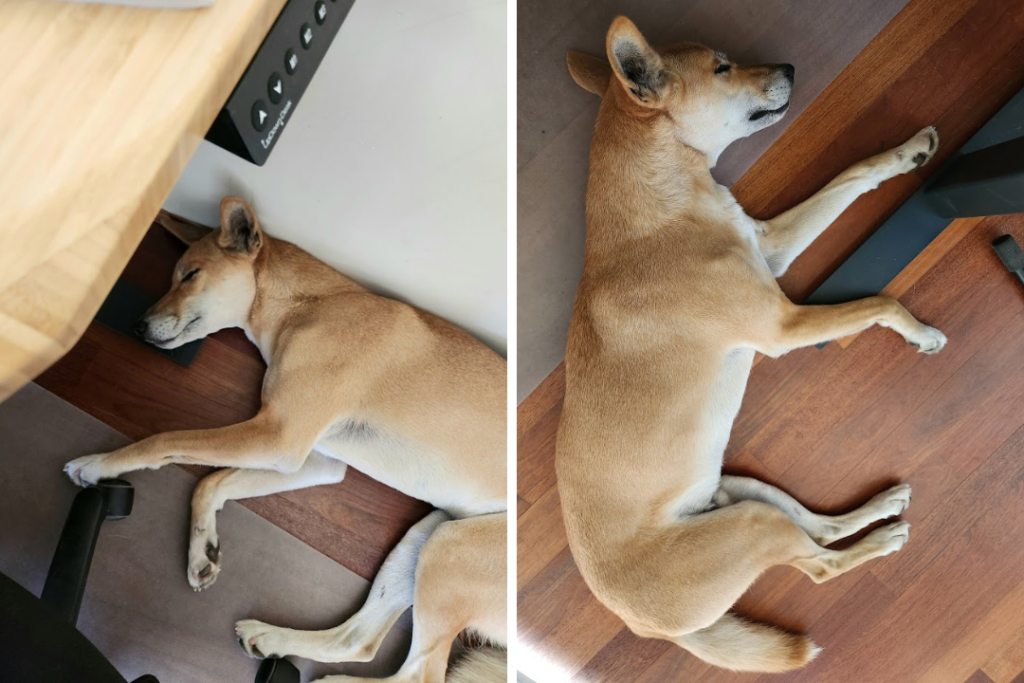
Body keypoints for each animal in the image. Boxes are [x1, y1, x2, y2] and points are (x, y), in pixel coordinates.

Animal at [61, 194, 505, 679]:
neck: (307, 304)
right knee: (359, 642)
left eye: (190, 274)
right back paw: (274, 640)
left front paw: (97, 465)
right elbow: (210, 481)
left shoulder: (277, 435)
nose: (138, 326)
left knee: (419, 672)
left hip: (450, 549)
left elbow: (163, 441)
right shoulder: (311, 458)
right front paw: (202, 549)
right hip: (429, 535)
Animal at [557, 15, 946, 671]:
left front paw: (907, 152)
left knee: (821, 529)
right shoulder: (783, 326)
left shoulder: (771, 247)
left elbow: (852, 175)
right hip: (749, 528)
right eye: (721, 67)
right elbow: (879, 304)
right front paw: (922, 332)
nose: (789, 68)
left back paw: (880, 510)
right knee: (821, 566)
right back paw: (887, 538)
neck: (661, 201)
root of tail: (643, 625)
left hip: (744, 496)